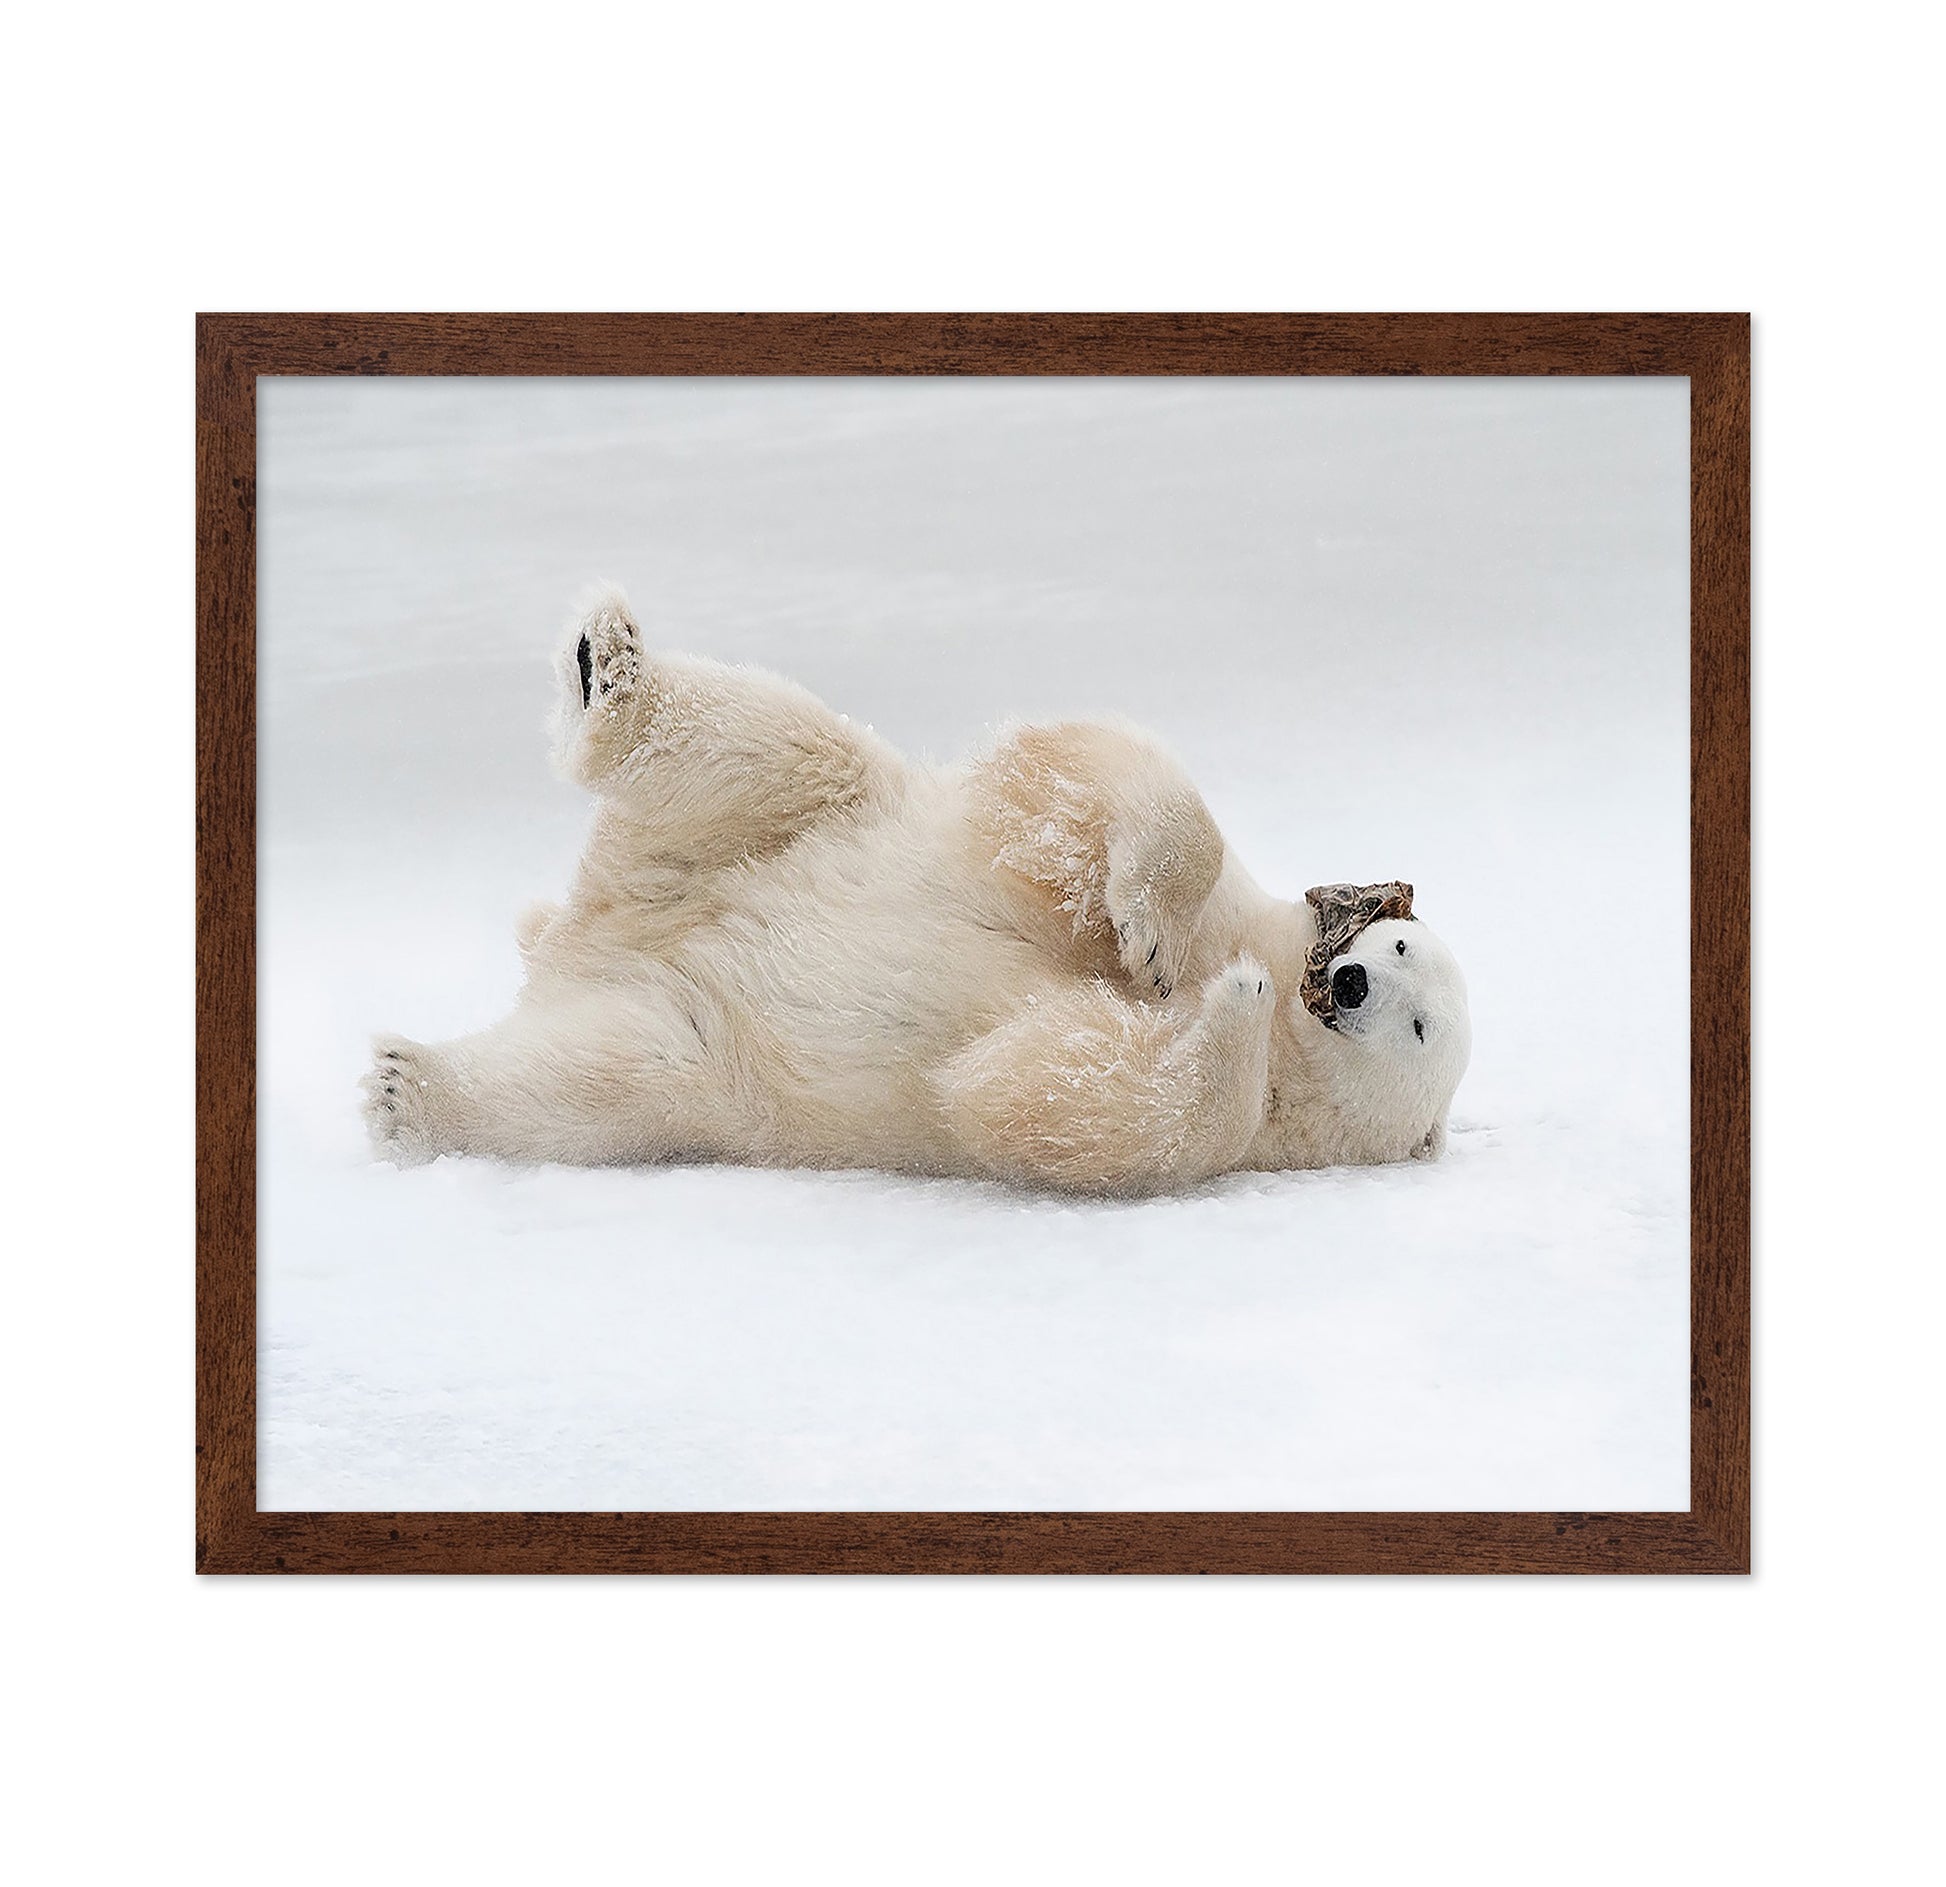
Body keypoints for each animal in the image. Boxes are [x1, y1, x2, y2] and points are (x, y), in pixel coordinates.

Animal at [362, 590, 1472, 1194]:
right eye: (1400, 949)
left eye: (1420, 1028)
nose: (1351, 985)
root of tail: (590, 931)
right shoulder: (1220, 893)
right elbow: (1092, 786)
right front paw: (1152, 940)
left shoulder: (1256, 1140)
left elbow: (1074, 1101)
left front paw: (1226, 1003)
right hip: (792, 823)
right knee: (769, 738)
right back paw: (609, 665)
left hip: (702, 1050)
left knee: (593, 1081)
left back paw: (409, 1090)